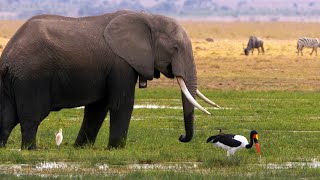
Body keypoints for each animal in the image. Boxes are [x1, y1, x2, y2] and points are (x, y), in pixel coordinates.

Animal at [0, 10, 220, 150]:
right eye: (175, 48)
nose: (181, 137)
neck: (146, 17)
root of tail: (8, 56)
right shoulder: (120, 64)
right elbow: (122, 104)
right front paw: (116, 148)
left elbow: (98, 108)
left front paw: (81, 148)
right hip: (30, 79)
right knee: (31, 117)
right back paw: (30, 149)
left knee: (7, 117)